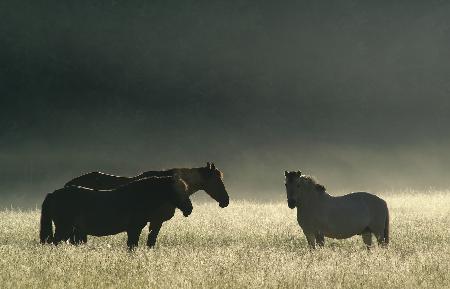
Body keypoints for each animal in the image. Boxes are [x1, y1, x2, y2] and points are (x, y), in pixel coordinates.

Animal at [39, 174, 192, 249]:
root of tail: (53, 194)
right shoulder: (133, 229)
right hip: (64, 228)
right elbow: (132, 246)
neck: (139, 197)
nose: (189, 209)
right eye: (178, 191)